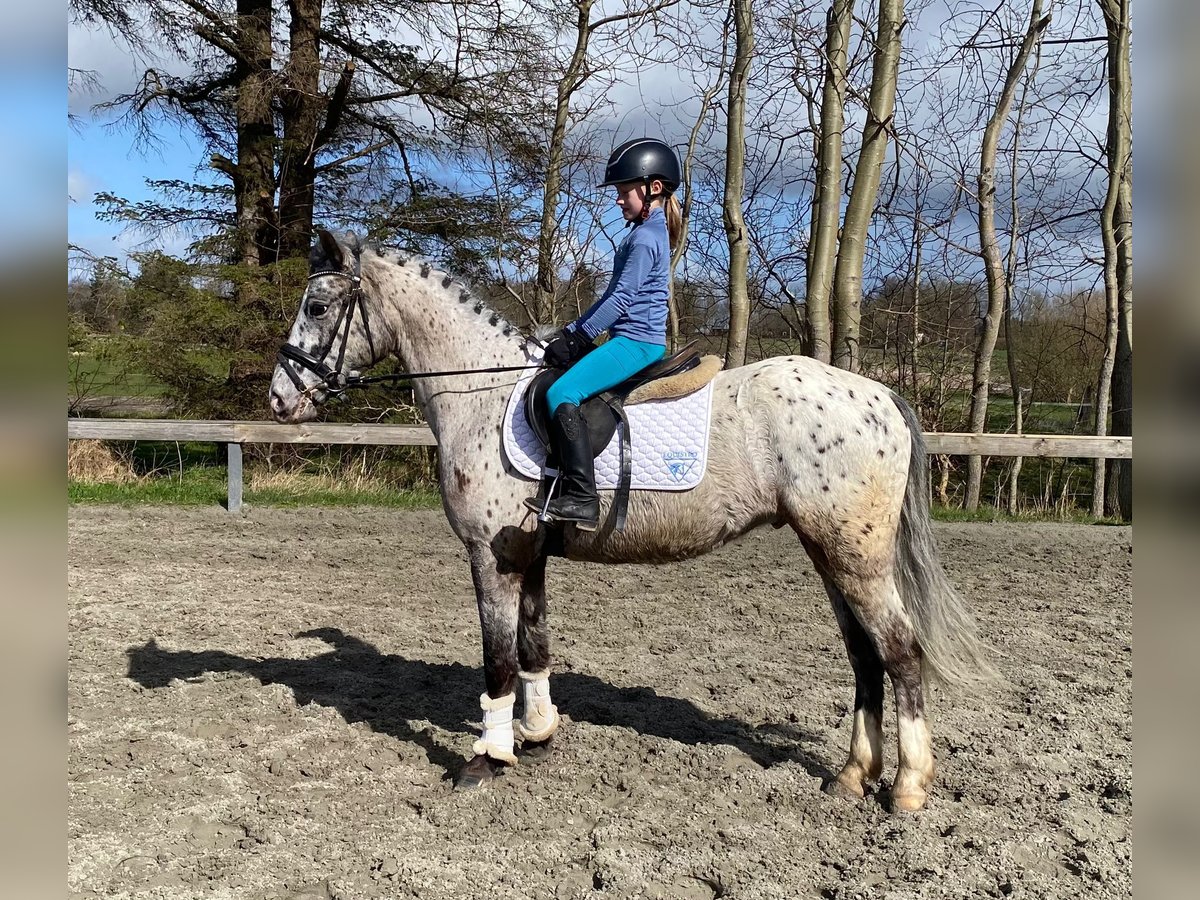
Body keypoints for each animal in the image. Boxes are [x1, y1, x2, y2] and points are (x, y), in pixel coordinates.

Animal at [272, 229, 993, 816]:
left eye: (317, 308)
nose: (280, 401)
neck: (480, 390)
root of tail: (879, 394)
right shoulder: (529, 555)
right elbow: (535, 646)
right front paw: (538, 735)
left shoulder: (491, 556)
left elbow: (498, 659)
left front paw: (487, 758)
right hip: (830, 552)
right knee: (865, 657)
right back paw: (848, 777)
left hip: (855, 557)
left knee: (900, 652)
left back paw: (907, 789)